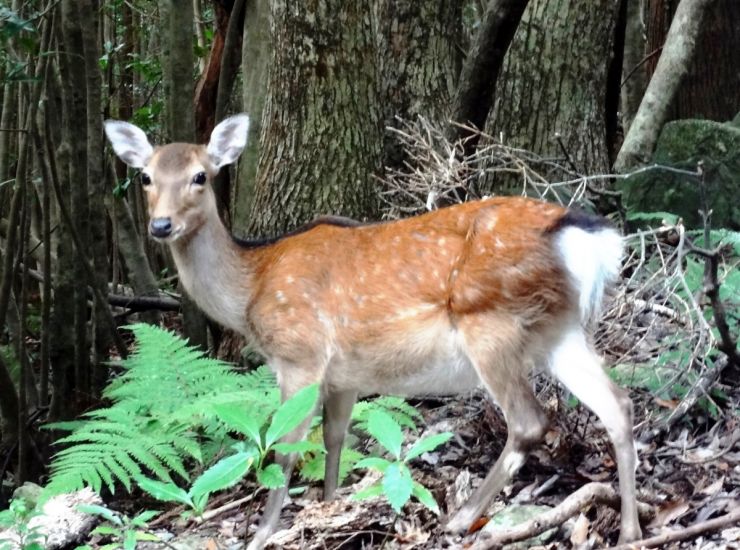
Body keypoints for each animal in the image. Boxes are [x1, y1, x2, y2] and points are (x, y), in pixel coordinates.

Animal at [104, 114, 640, 548]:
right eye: (146, 176)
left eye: (200, 175)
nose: (161, 225)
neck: (253, 287)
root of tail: (584, 236)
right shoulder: (345, 376)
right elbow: (335, 439)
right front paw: (330, 506)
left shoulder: (300, 354)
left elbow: (286, 447)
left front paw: (261, 534)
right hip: (558, 331)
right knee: (618, 402)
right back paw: (631, 530)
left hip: (490, 322)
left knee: (530, 421)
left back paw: (460, 518)